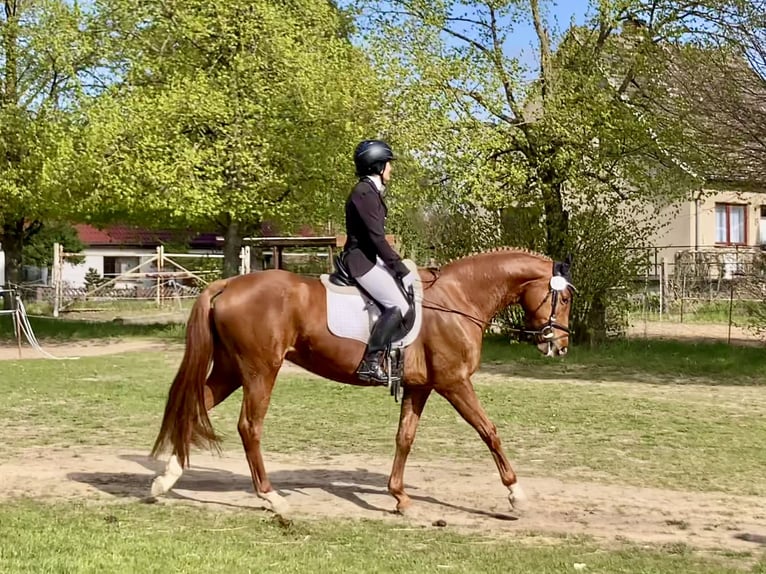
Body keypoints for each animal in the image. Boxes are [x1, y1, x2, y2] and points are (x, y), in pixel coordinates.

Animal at [149, 248, 574, 516]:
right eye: (566, 298)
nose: (560, 346)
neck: (458, 300)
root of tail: (228, 285)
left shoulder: (420, 387)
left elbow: (405, 438)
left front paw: (400, 497)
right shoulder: (454, 383)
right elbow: (489, 431)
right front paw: (516, 495)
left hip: (229, 371)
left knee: (195, 405)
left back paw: (165, 481)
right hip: (258, 371)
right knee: (249, 427)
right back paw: (272, 498)